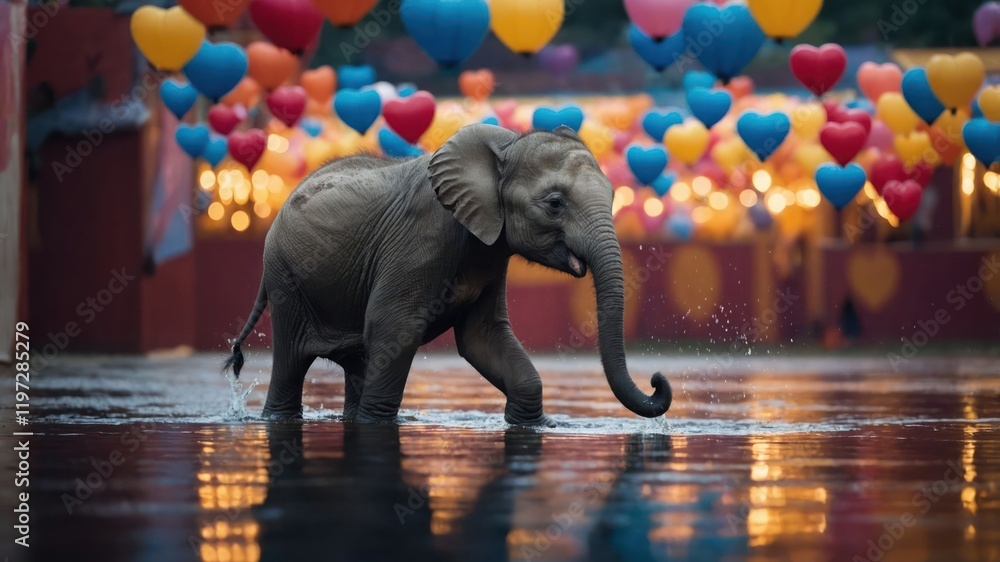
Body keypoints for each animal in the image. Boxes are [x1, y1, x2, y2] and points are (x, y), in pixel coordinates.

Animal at [225, 123, 672, 425]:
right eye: (555, 204)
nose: (656, 380)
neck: (506, 147)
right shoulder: (419, 241)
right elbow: (394, 329)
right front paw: (379, 422)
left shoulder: (491, 252)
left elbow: (483, 337)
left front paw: (540, 425)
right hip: (286, 280)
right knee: (292, 362)